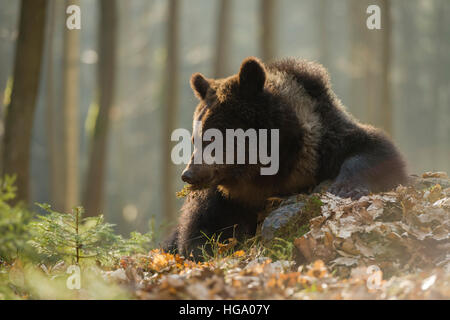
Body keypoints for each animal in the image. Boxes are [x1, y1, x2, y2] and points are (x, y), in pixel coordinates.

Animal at [164, 56, 408, 258]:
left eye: (212, 137)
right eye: (195, 138)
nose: (189, 174)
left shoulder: (323, 145)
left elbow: (374, 150)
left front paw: (345, 187)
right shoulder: (224, 197)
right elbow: (201, 226)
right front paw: (203, 248)